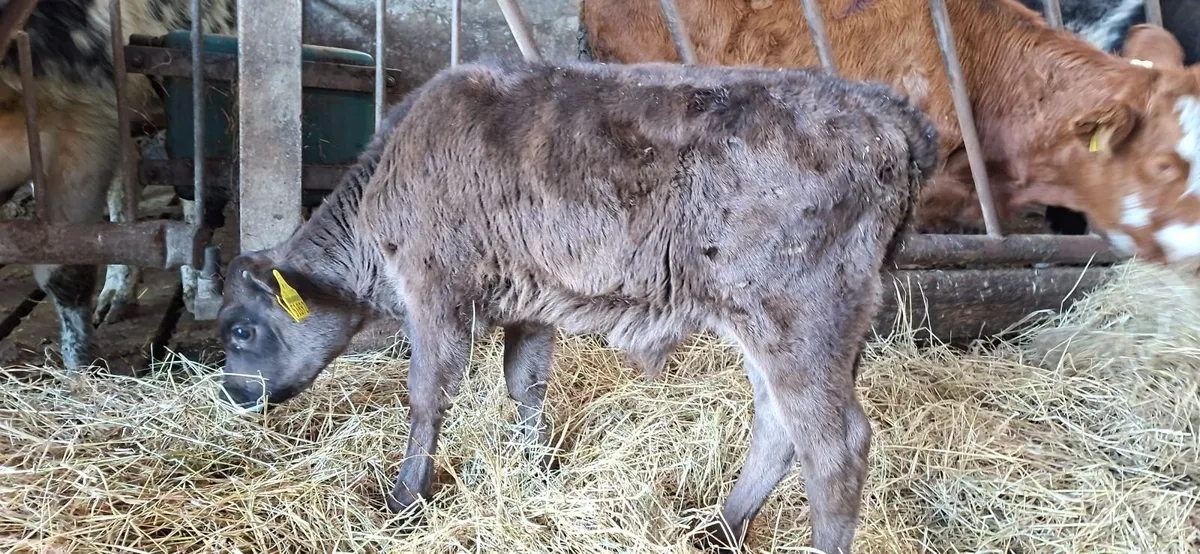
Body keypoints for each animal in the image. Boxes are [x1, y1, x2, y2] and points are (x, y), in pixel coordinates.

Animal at [214, 59, 940, 554]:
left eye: (242, 330)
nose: (232, 394)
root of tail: (881, 108)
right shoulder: (531, 304)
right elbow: (526, 385)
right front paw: (537, 475)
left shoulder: (435, 291)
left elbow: (427, 395)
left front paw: (404, 500)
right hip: (774, 327)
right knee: (778, 427)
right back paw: (719, 528)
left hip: (798, 320)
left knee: (834, 446)